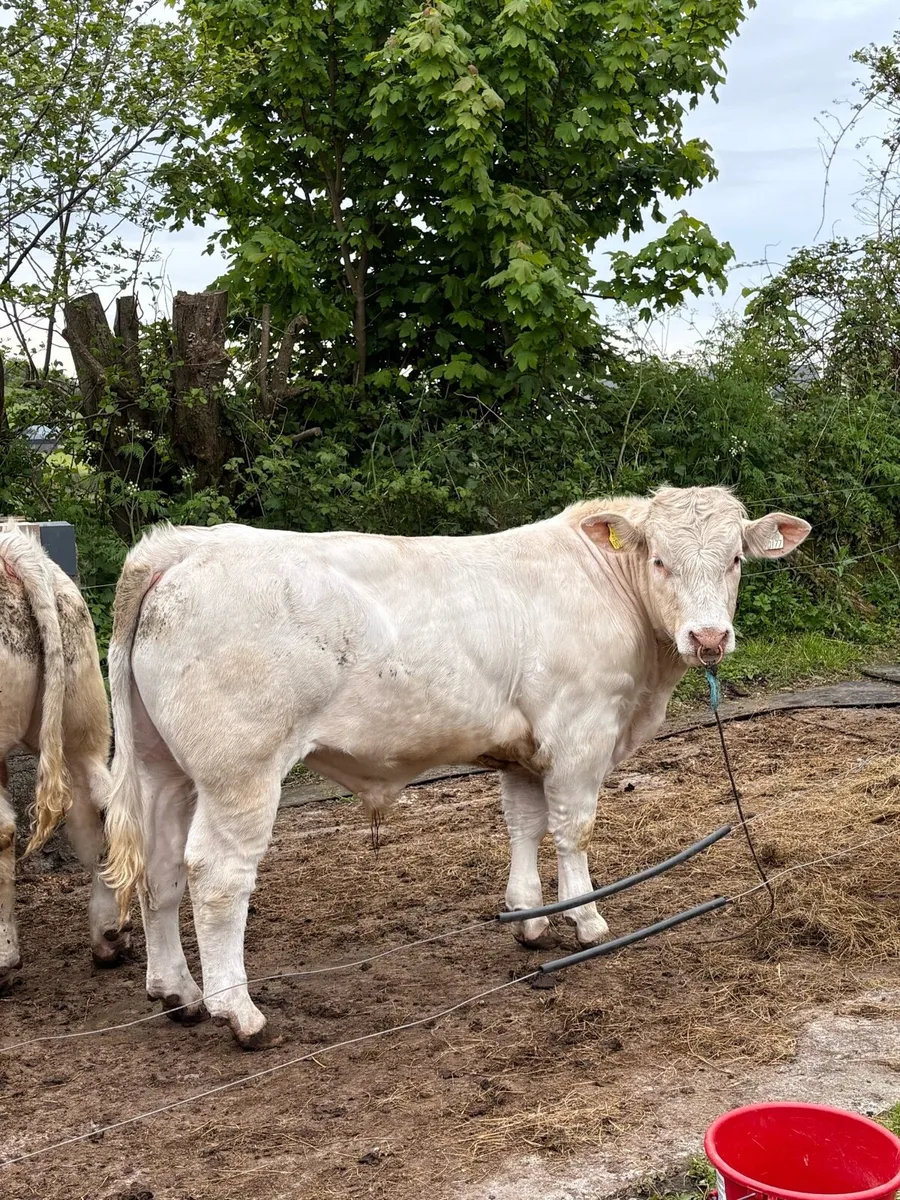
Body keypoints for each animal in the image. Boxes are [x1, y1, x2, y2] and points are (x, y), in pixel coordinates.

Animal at [102, 486, 810, 1048]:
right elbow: (572, 829)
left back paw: (176, 992)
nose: (709, 638)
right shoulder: (580, 733)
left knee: (159, 869)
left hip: (160, 767)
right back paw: (239, 1012)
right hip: (239, 772)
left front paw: (529, 919)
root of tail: (180, 547)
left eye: (736, 559)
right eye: (660, 559)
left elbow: (524, 824)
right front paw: (585, 920)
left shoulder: (524, 748)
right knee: (216, 876)